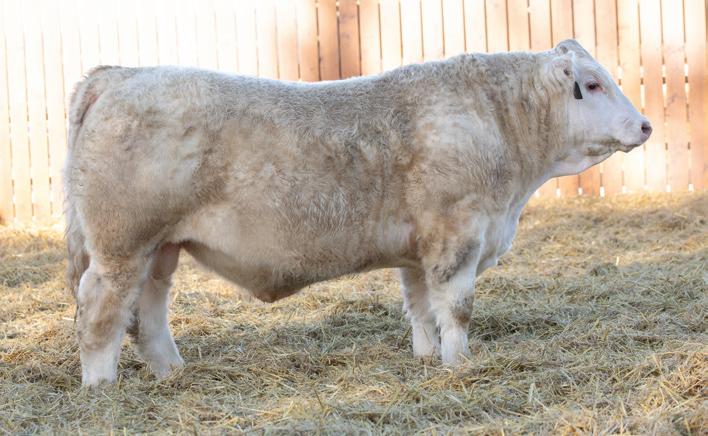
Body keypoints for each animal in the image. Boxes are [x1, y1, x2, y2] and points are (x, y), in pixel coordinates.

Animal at [64, 40, 651, 386]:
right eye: (593, 84)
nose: (645, 125)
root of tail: (117, 75)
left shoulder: (417, 251)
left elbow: (421, 307)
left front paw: (426, 358)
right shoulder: (458, 235)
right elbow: (457, 308)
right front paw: (459, 363)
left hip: (160, 248)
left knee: (148, 312)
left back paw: (171, 372)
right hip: (122, 245)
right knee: (100, 309)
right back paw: (100, 384)